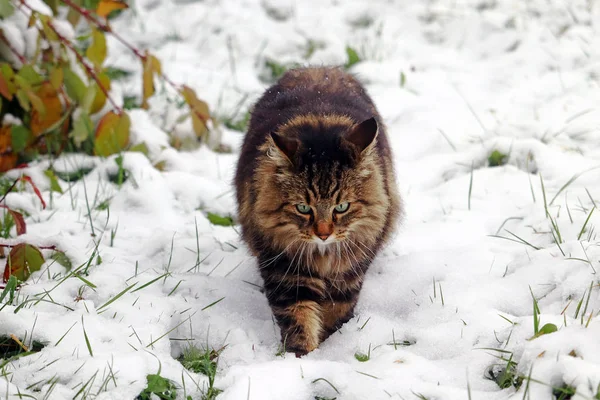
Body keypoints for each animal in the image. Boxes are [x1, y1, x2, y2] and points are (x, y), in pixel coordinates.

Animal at [237, 65, 400, 356]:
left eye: (342, 207)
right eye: (303, 208)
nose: (323, 234)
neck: (323, 256)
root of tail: (319, 67)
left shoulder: (348, 274)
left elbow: (335, 312)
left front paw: (329, 347)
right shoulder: (286, 271)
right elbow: (299, 319)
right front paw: (302, 356)